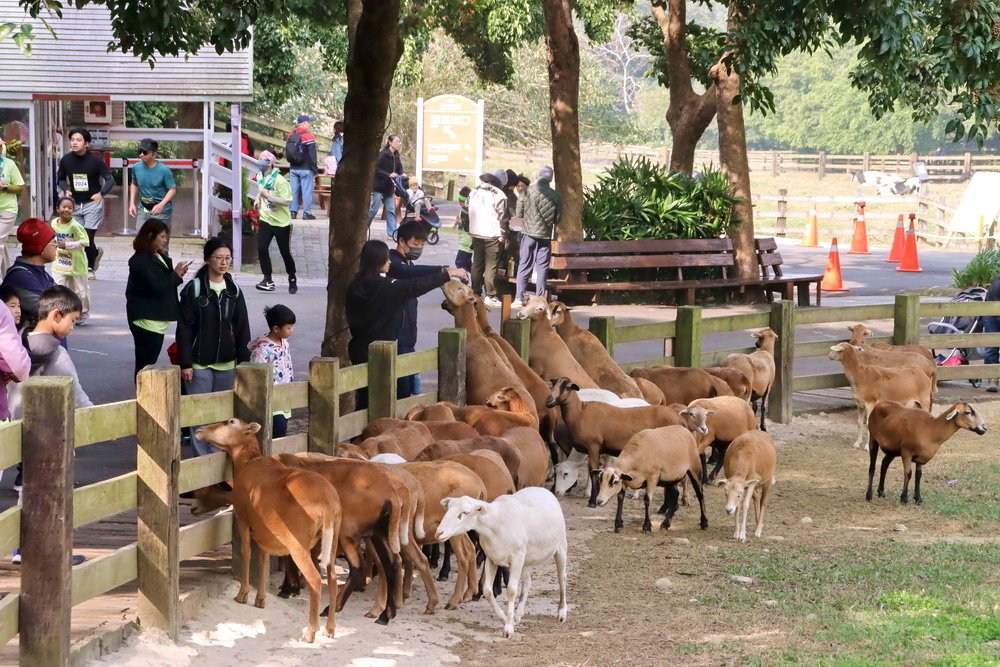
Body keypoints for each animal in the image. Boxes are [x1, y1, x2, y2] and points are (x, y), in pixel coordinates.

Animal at [436, 488, 568, 640]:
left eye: (465, 513)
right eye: (448, 509)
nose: (439, 532)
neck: (495, 523)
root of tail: (543, 489)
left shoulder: (516, 559)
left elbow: (511, 591)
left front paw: (508, 628)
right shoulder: (491, 558)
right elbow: (487, 591)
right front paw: (505, 618)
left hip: (560, 547)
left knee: (562, 578)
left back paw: (561, 612)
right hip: (526, 557)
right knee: (528, 582)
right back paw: (518, 614)